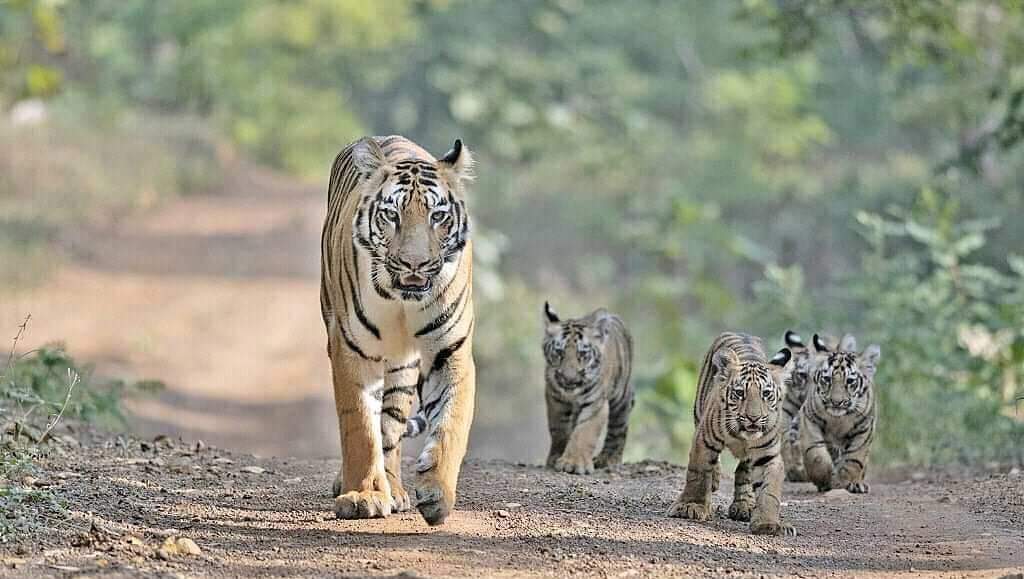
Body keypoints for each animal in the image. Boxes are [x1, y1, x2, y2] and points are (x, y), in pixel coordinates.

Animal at [319, 134, 475, 524]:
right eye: (392, 215)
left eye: (438, 216)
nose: (413, 264)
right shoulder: (350, 349)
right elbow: (360, 426)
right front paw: (363, 496)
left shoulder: (451, 351)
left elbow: (452, 423)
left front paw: (436, 492)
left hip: (403, 367)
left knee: (391, 427)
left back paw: (395, 488)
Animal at [544, 303, 630, 473]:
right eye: (559, 352)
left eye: (582, 353)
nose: (569, 378)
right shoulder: (555, 399)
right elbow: (558, 429)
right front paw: (556, 457)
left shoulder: (595, 403)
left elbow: (584, 432)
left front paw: (574, 462)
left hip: (621, 397)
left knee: (619, 428)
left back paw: (609, 458)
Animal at [667, 332, 794, 536]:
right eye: (740, 393)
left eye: (766, 394)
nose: (753, 418)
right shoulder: (705, 439)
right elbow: (699, 473)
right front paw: (691, 506)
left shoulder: (768, 455)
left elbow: (769, 491)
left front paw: (768, 524)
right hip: (698, 414)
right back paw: (715, 481)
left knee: (744, 472)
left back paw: (744, 505)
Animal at [798, 334, 880, 491]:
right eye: (827, 379)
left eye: (850, 381)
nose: (836, 402)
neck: (838, 420)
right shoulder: (809, 419)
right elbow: (816, 453)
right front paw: (824, 477)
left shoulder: (865, 427)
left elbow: (855, 458)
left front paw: (844, 482)